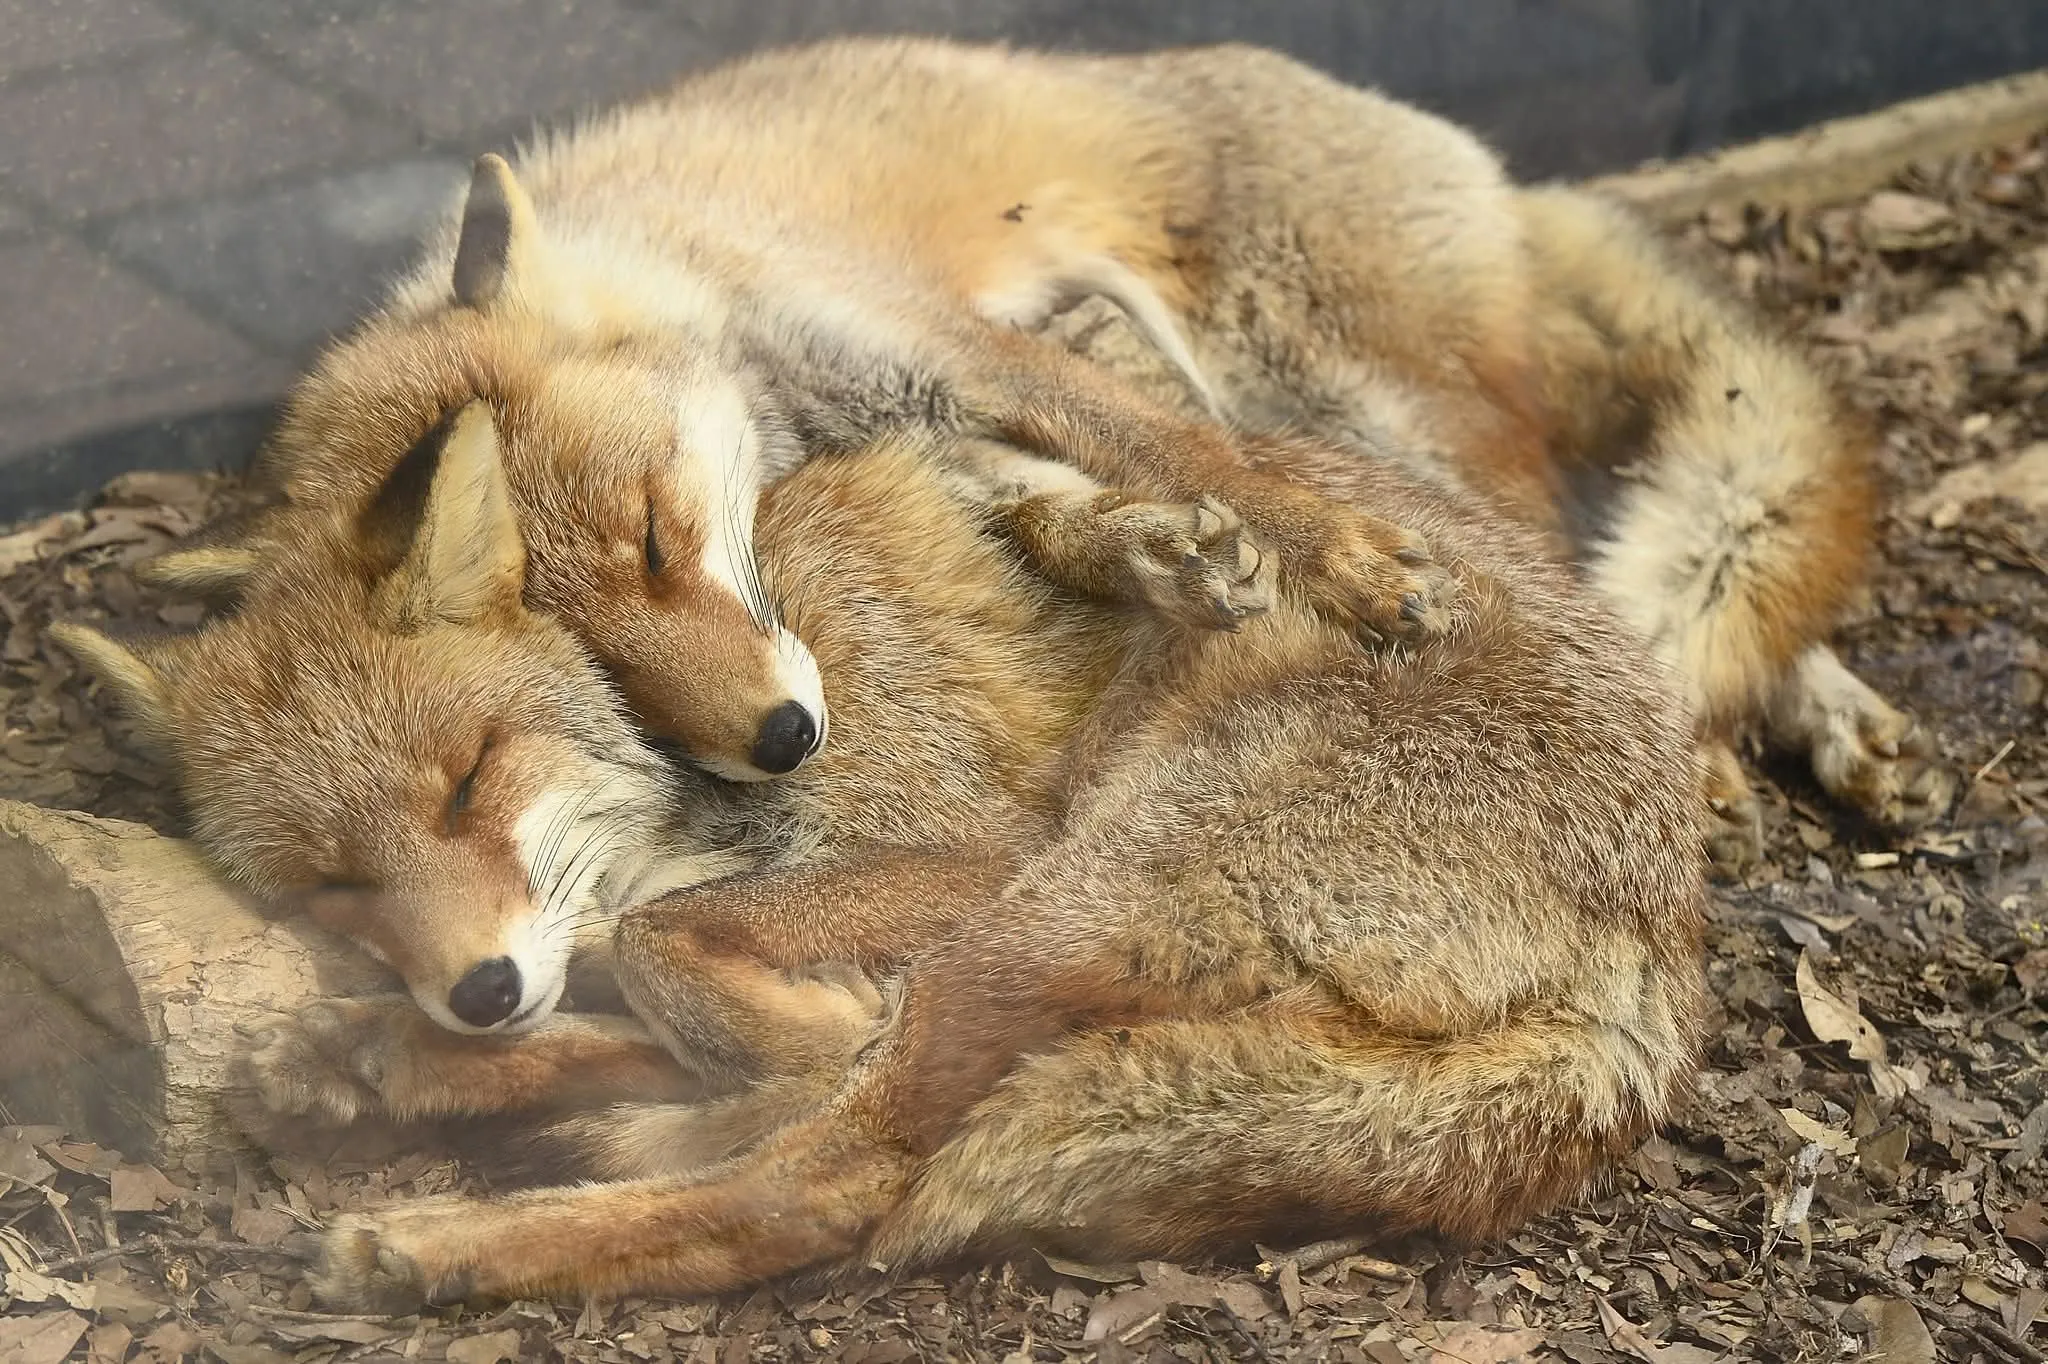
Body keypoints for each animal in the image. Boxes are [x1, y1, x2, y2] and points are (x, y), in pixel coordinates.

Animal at [57, 376, 1707, 1309]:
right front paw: (439, 1053)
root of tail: (1662, 960)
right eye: (330, 887)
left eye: (466, 784)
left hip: (1060, 895)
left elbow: (675, 964)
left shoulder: (970, 845)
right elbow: (672, 986)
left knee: (829, 1188)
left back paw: (451, 1243)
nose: (475, 992)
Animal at [141, 36, 1950, 861]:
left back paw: (1730, 731)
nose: (781, 743)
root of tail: (1504, 170)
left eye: (655, 536)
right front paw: (1163, 557)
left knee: (1578, 551)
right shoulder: (922, 424)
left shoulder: (940, 346)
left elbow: (1164, 453)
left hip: (1330, 383)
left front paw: (1339, 566)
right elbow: (1066, 510)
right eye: (586, 656)